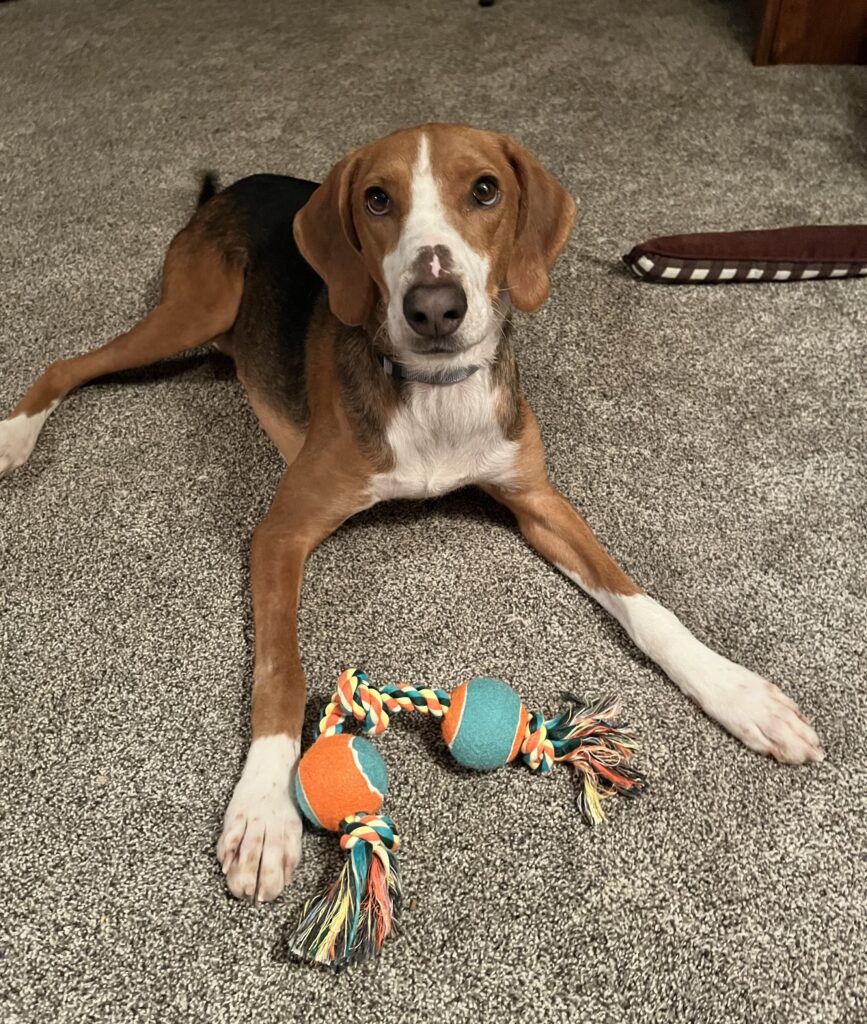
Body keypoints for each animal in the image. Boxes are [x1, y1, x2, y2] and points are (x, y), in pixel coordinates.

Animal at [0, 123, 823, 903]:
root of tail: (236, 186)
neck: (435, 394)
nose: (434, 307)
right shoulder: (280, 532)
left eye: (485, 189)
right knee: (66, 365)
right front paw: (263, 811)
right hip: (193, 310)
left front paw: (739, 693)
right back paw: (15, 436)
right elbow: (282, 672)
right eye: (376, 199)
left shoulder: (538, 501)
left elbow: (643, 604)